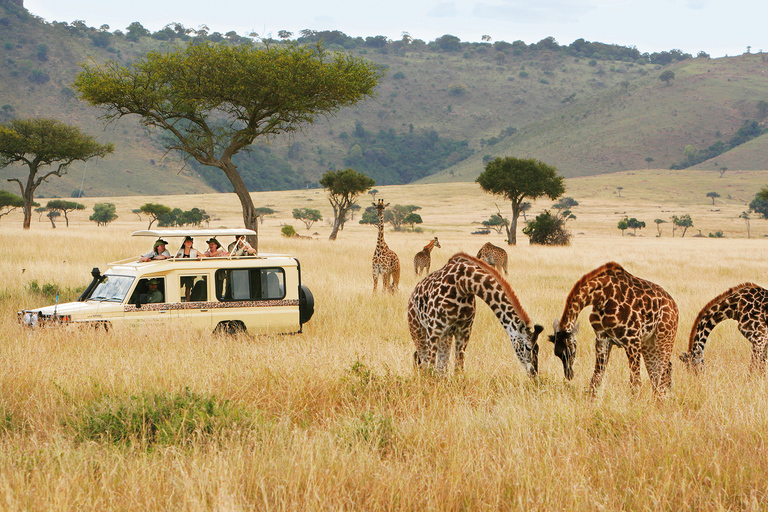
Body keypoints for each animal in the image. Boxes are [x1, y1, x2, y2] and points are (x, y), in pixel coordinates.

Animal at [404, 252, 544, 376]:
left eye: (537, 348)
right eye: (527, 347)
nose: (534, 373)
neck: (463, 284)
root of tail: (412, 294)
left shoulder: (464, 331)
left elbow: (458, 369)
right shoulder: (434, 330)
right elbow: (430, 367)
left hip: (445, 336)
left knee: (441, 367)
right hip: (418, 330)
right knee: (423, 361)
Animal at [548, 262, 680, 398]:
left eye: (572, 352)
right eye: (557, 354)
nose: (569, 375)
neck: (603, 297)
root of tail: (674, 305)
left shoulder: (632, 340)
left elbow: (635, 383)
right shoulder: (602, 338)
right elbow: (596, 379)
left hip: (664, 337)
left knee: (662, 374)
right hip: (648, 343)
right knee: (658, 374)